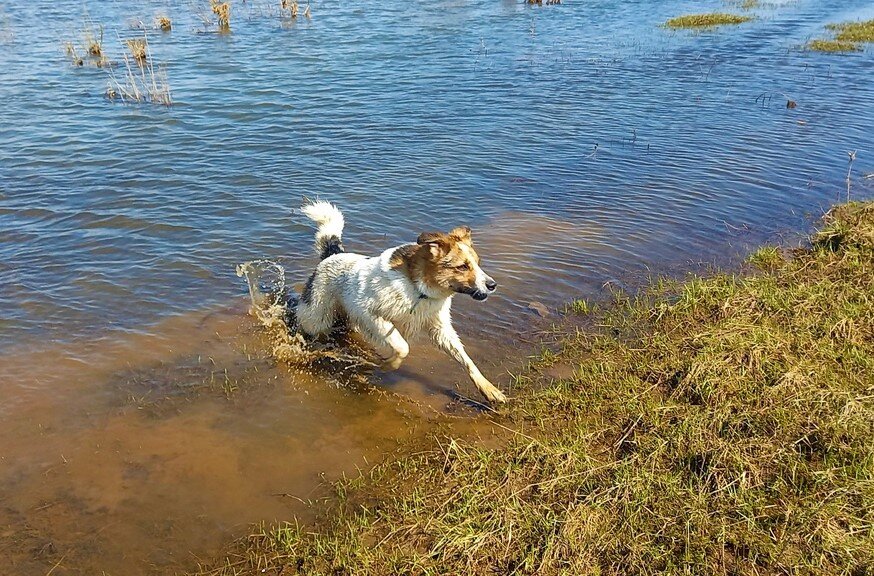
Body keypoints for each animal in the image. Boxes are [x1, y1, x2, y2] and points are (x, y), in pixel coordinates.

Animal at [296, 202, 508, 404]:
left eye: (477, 263)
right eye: (463, 266)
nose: (492, 285)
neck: (419, 290)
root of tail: (332, 255)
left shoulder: (440, 328)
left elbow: (466, 360)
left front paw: (489, 389)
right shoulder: (371, 314)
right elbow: (402, 346)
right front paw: (388, 364)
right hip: (317, 318)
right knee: (310, 326)